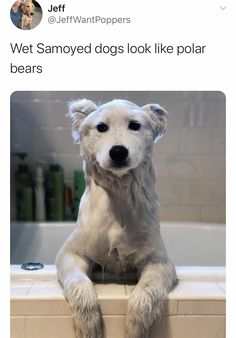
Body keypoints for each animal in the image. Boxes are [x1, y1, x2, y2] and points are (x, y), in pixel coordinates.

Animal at [55, 99, 177, 336]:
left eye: (135, 125)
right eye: (101, 127)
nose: (118, 152)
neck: (118, 199)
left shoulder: (159, 261)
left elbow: (145, 291)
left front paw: (135, 328)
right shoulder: (70, 253)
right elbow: (79, 283)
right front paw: (89, 325)